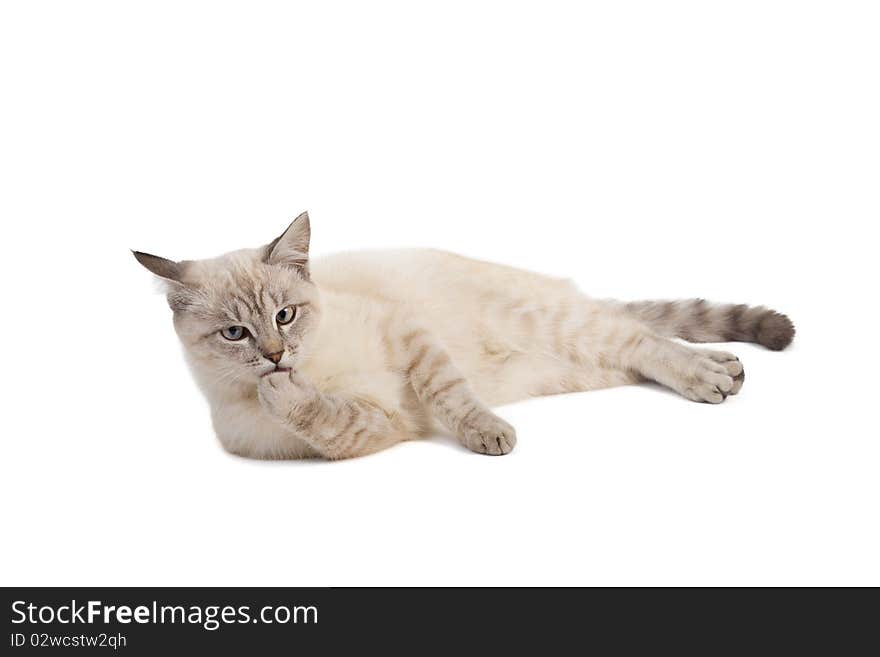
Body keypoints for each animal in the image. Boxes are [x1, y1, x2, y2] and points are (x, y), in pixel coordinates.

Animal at [132, 213, 796, 458]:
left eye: (286, 317)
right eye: (235, 332)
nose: (275, 356)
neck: (316, 369)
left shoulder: (408, 335)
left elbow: (450, 394)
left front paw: (490, 436)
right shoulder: (376, 427)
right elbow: (330, 416)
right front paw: (282, 392)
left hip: (557, 323)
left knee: (642, 339)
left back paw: (715, 373)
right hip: (578, 368)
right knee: (635, 352)